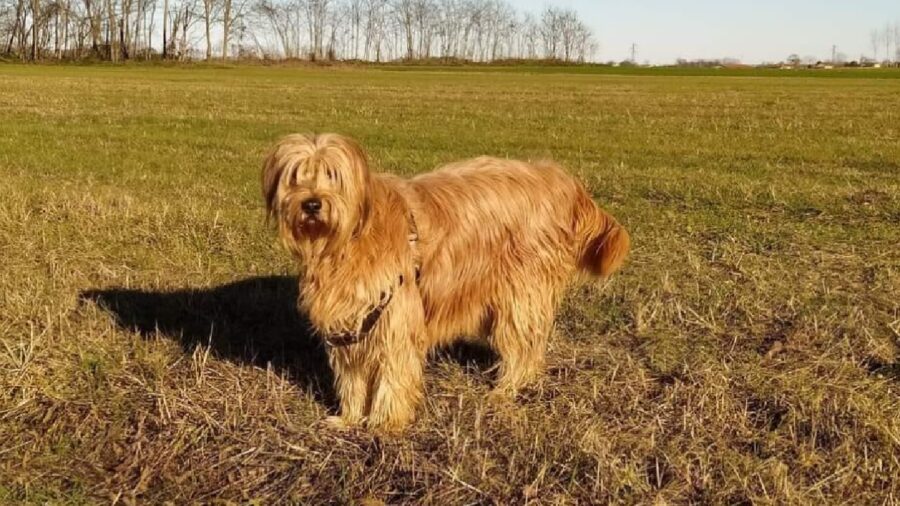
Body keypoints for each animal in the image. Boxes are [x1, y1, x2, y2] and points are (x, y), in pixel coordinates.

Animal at [264, 133, 628, 430]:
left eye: (333, 176)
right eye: (296, 176)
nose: (312, 204)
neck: (347, 240)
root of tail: (553, 177)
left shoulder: (394, 318)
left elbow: (393, 372)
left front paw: (383, 424)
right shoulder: (351, 323)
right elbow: (352, 376)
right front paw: (350, 418)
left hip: (520, 293)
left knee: (523, 346)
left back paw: (506, 389)